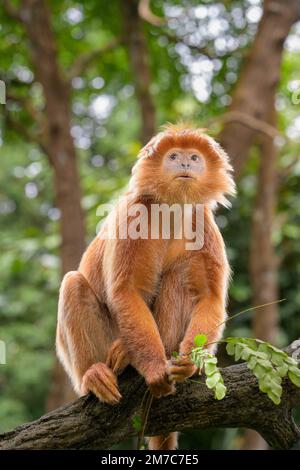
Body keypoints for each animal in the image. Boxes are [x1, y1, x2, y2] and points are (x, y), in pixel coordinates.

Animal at [55, 123, 234, 450]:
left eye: (194, 157)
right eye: (174, 156)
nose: (185, 163)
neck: (172, 209)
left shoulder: (201, 220)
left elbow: (210, 298)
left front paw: (188, 363)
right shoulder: (135, 212)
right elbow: (126, 291)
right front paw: (153, 370)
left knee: (179, 277)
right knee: (74, 283)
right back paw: (95, 374)